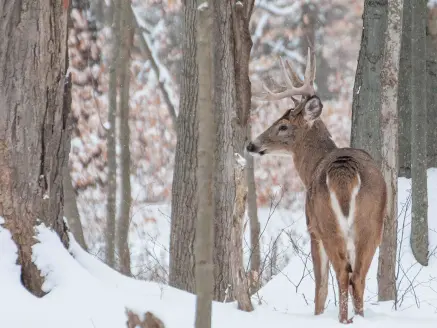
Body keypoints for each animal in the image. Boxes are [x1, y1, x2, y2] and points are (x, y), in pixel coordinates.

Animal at [247, 48, 386, 322]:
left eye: (283, 126)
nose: (251, 144)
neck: (313, 166)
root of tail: (344, 172)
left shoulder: (311, 227)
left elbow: (320, 285)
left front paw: (318, 315)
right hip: (373, 222)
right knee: (358, 277)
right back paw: (357, 317)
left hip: (327, 222)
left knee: (342, 274)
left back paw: (343, 319)